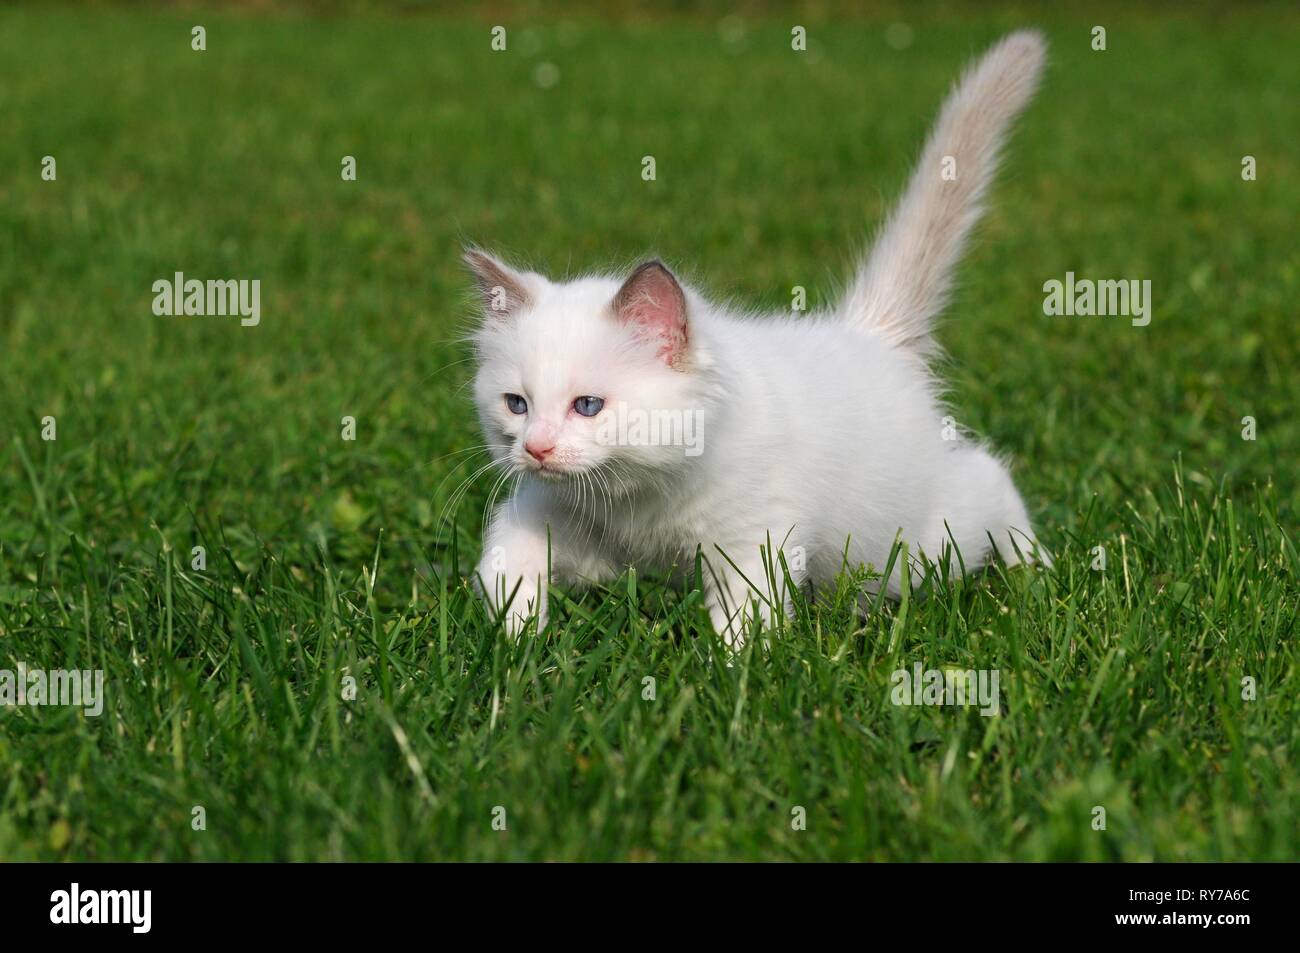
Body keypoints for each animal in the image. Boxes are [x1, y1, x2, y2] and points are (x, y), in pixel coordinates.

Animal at [465, 29, 1045, 647]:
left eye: (588, 406)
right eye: (517, 404)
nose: (536, 448)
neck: (639, 503)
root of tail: (871, 332)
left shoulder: (754, 539)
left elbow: (746, 622)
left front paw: (729, 667)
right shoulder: (548, 518)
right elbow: (504, 561)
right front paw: (518, 640)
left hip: (909, 543)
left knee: (989, 476)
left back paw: (1035, 569)